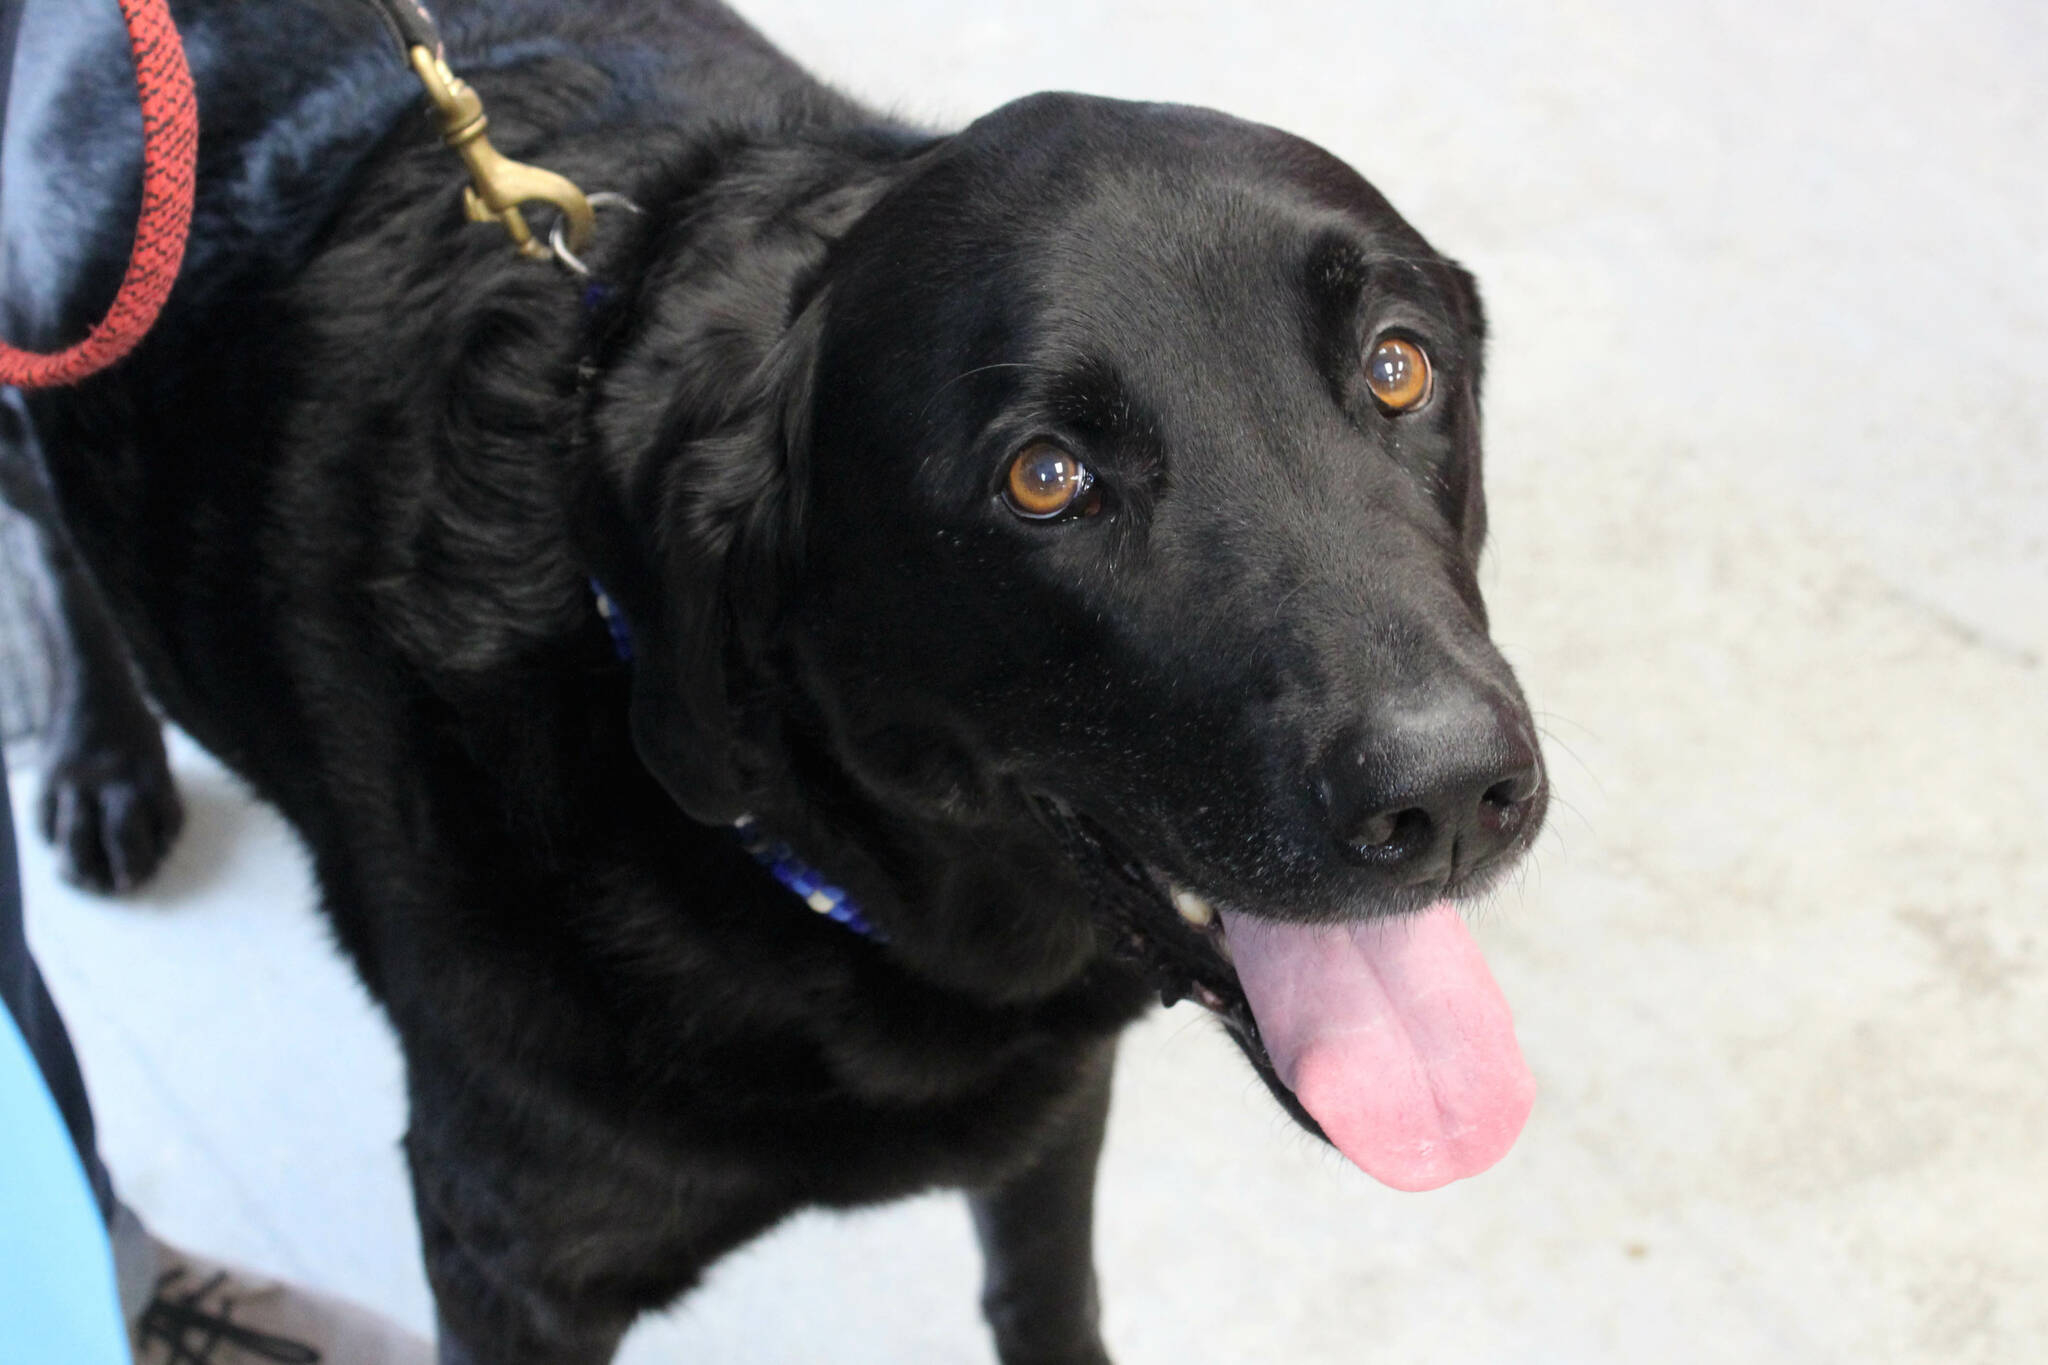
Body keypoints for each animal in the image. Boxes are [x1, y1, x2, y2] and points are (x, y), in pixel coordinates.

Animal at [0, 2, 1540, 1365]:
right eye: (1046, 478)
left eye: (1396, 368)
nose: (1448, 798)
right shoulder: (508, 1263)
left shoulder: (1047, 1114)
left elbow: (1047, 1302)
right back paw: (97, 758)